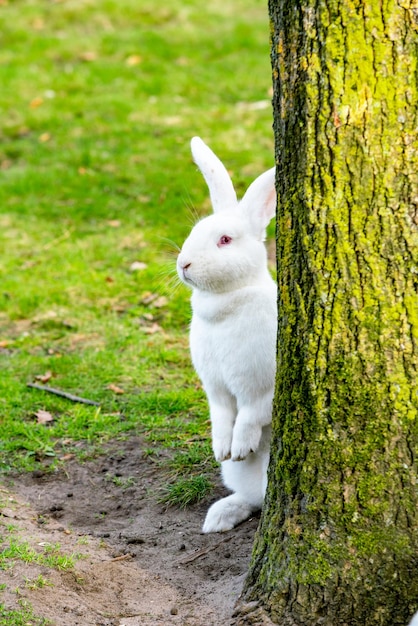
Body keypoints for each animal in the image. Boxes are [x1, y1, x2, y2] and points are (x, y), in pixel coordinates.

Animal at [177, 138, 278, 532]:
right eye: (193, 231)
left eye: (224, 240)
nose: (184, 265)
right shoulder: (215, 388)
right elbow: (221, 415)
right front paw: (222, 448)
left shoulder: (264, 387)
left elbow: (250, 415)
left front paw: (240, 447)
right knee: (254, 500)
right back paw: (219, 517)